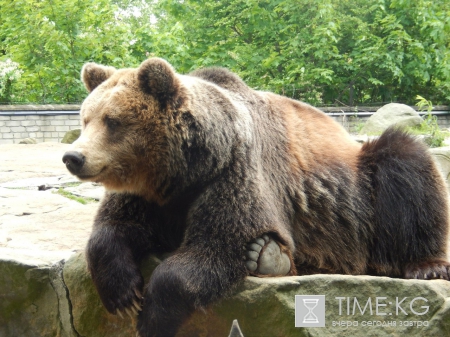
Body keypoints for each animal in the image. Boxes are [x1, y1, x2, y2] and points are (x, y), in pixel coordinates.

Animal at [62, 58, 450, 336]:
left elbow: (217, 244)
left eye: (112, 121)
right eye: (85, 118)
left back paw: (425, 265)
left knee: (404, 160)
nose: (73, 157)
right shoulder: (152, 195)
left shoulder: (234, 173)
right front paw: (123, 293)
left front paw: (151, 316)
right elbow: (113, 228)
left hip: (358, 190)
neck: (187, 168)